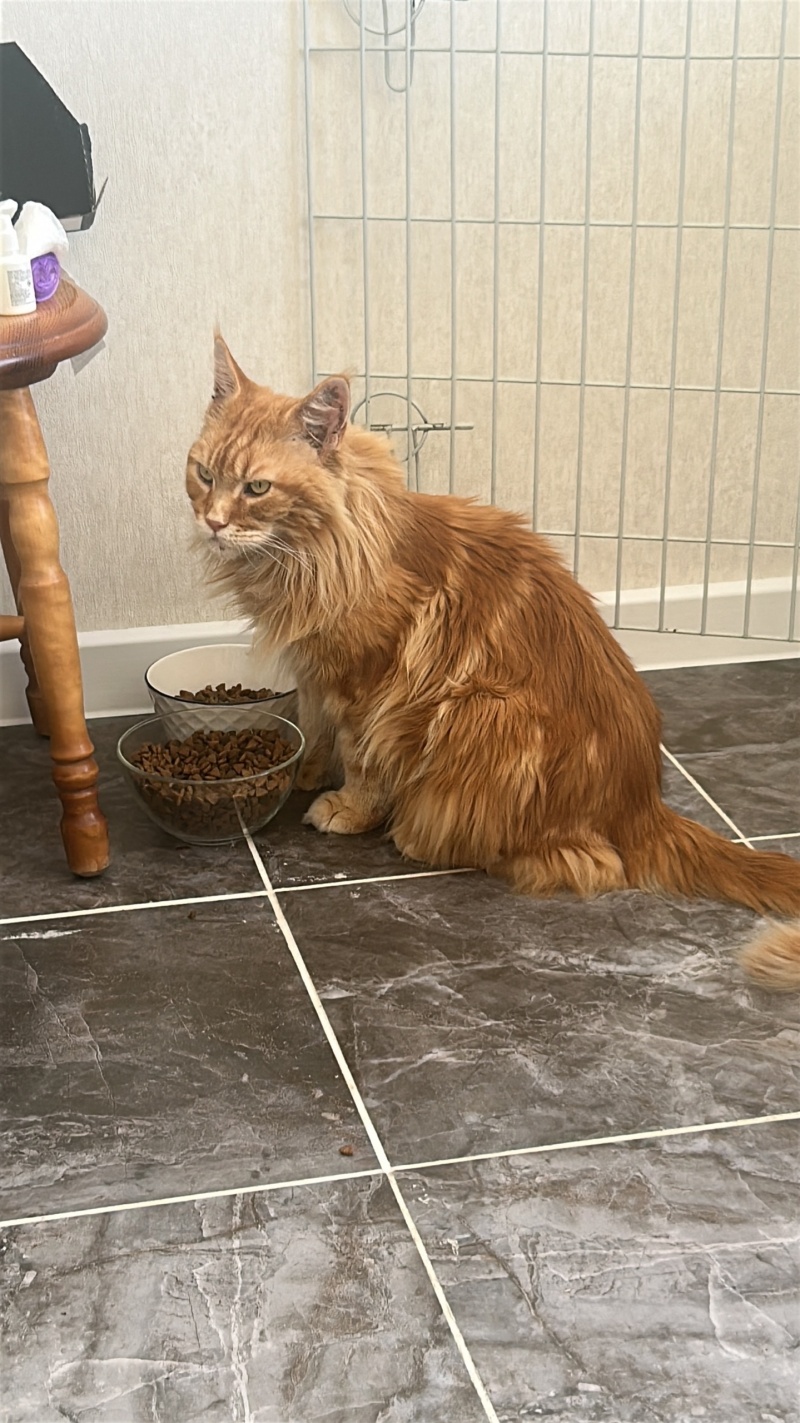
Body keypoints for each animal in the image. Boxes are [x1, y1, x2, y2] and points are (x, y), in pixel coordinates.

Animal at [186, 336, 800, 991]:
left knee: (577, 862)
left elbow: (362, 758)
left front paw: (346, 806)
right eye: (204, 475)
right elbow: (313, 725)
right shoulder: (314, 667)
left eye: (257, 489)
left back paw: (417, 836)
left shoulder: (368, 683)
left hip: (479, 710)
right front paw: (303, 770)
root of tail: (642, 802)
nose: (213, 522)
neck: (307, 557)